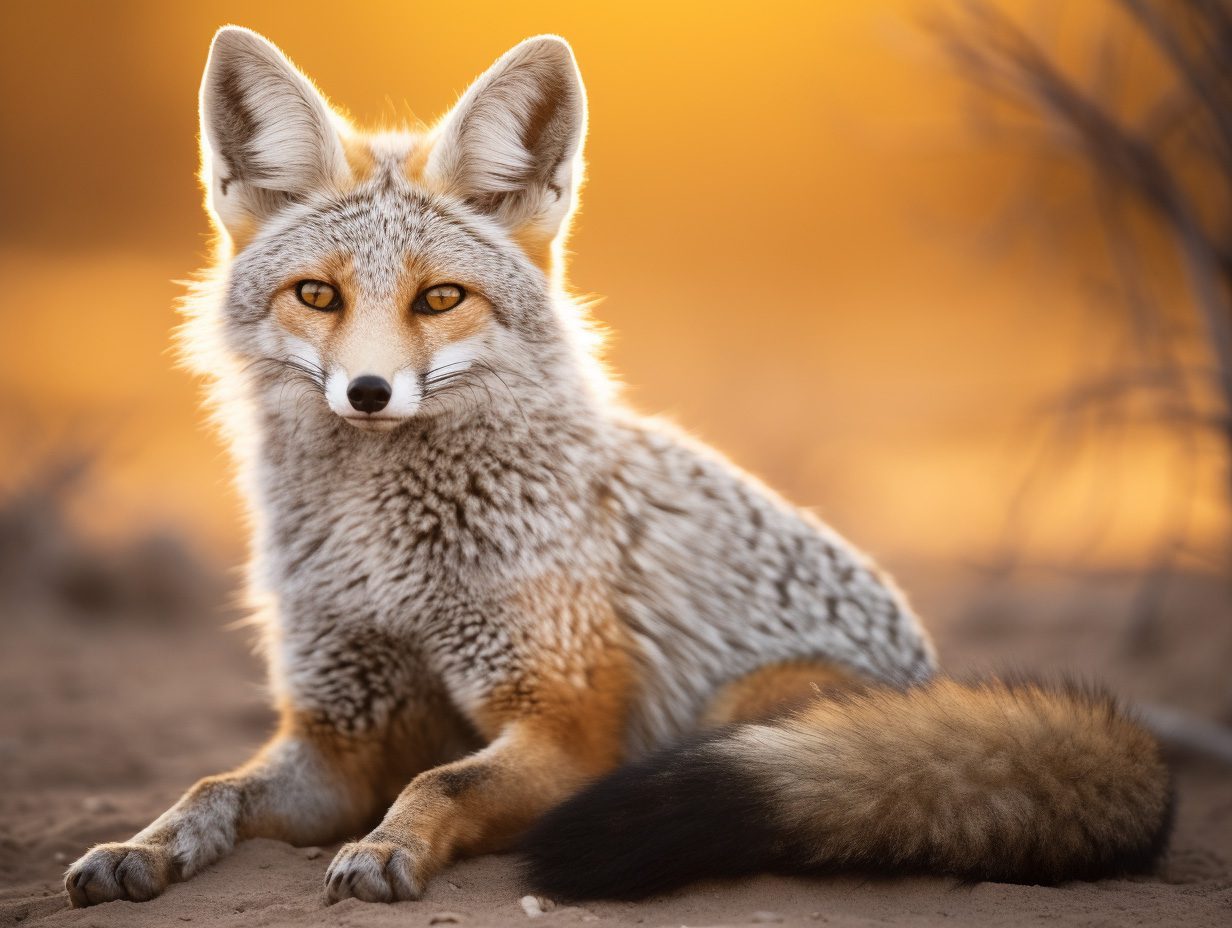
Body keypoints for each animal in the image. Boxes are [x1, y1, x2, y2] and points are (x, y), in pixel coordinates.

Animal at [64, 26, 1172, 908]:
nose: (369, 393)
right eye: (318, 295)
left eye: (439, 299)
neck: (385, 552)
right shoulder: (342, 733)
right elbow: (208, 790)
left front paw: (386, 850)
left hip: (743, 713)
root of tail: (934, 677)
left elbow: (437, 782)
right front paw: (138, 849)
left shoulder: (562, 723)